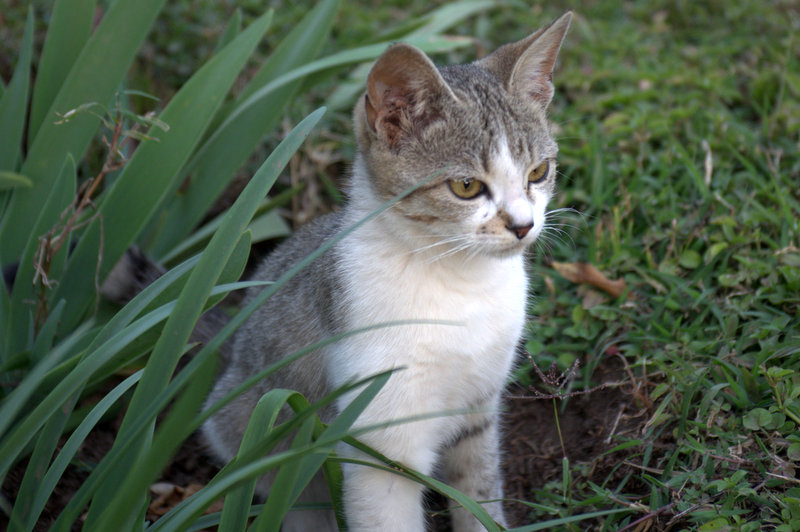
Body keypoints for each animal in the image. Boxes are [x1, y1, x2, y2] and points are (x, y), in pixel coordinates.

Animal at [202, 11, 572, 532]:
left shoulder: (478, 412)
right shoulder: (381, 447)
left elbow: (479, 499)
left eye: (538, 172)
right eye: (466, 186)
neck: (460, 285)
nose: (523, 225)